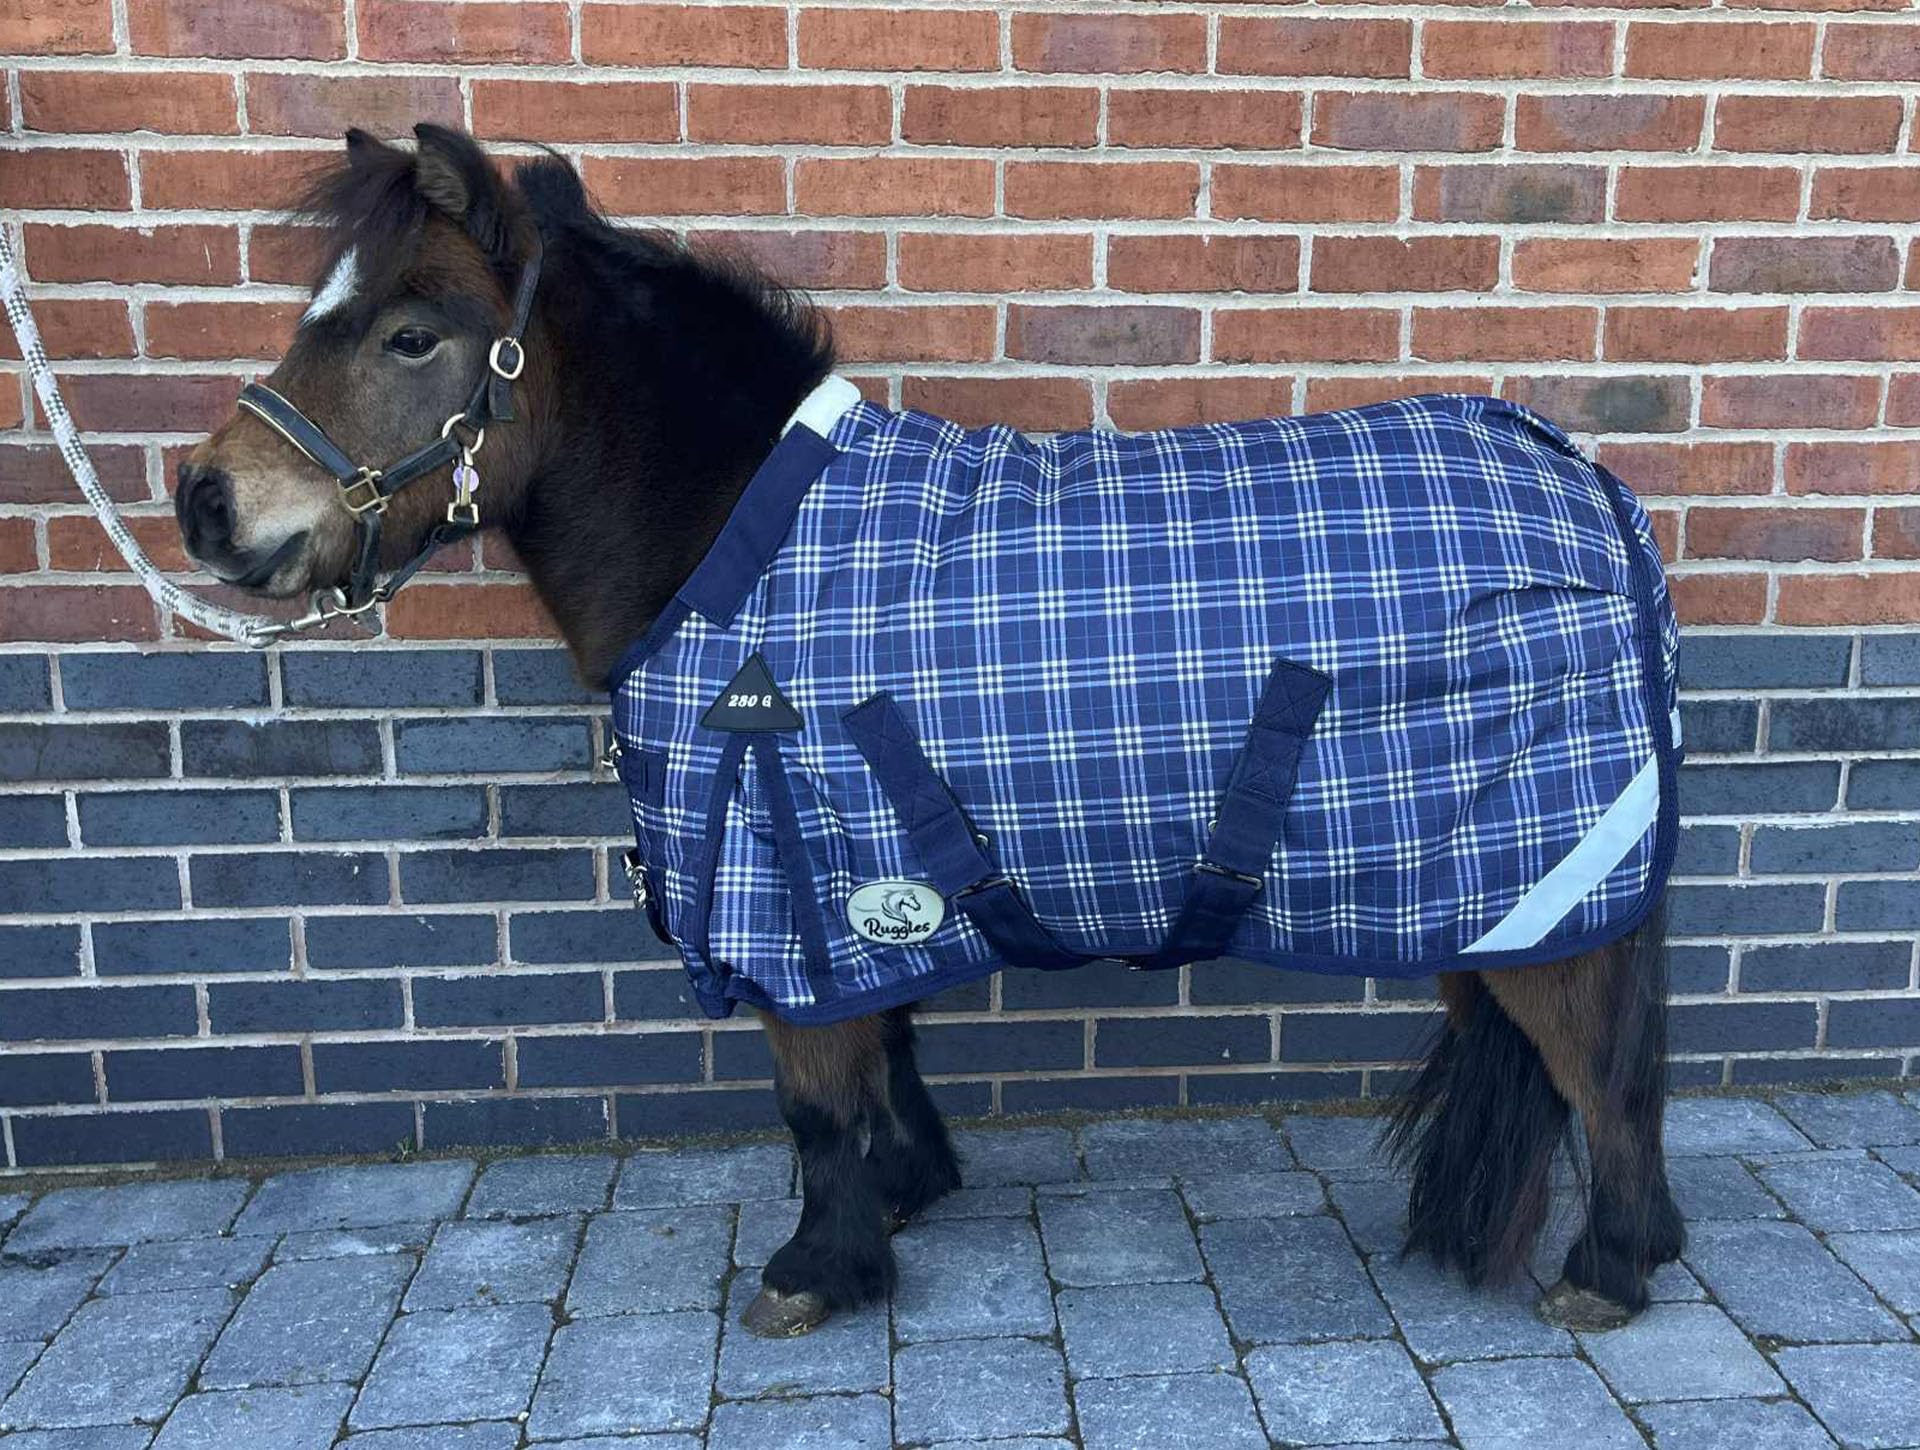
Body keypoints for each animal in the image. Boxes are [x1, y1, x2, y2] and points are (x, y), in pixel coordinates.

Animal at [174, 124, 1683, 1339]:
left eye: (410, 333)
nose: (206, 502)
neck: (734, 544)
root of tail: (1588, 489)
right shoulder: (851, 873)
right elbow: (883, 1053)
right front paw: (899, 1197)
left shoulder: (788, 872)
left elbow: (815, 1094)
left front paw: (814, 1266)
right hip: (1473, 894)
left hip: (1547, 886)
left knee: (1602, 1068)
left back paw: (1608, 1268)